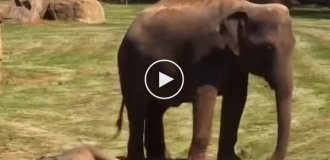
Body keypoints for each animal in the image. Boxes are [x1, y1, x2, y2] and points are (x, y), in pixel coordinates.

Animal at [117, 0, 296, 159]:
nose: (266, 156)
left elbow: (237, 99)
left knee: (155, 110)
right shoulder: (205, 53)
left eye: (294, 46)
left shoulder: (235, 63)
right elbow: (205, 97)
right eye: (268, 48)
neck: (247, 7)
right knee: (137, 111)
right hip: (129, 67)